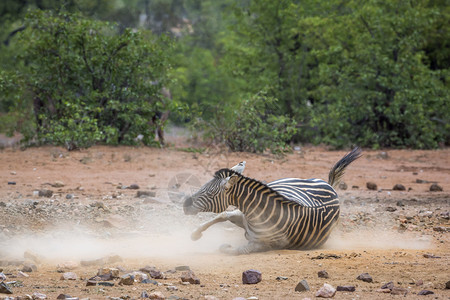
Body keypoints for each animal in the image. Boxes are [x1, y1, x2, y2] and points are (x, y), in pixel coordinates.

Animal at [183, 146, 362, 254]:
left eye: (210, 193)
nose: (185, 205)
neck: (256, 214)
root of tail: (331, 187)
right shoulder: (242, 215)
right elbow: (222, 215)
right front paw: (195, 234)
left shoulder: (264, 244)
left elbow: (236, 250)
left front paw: (225, 246)